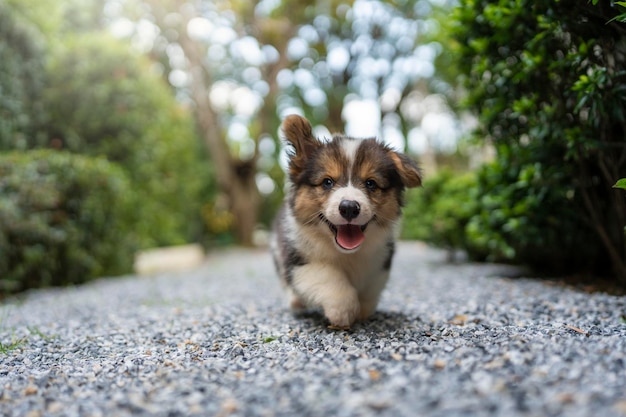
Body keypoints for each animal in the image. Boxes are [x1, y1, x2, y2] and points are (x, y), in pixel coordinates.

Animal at [268, 114, 420, 328]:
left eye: (371, 183)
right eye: (327, 182)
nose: (349, 207)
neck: (347, 254)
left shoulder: (380, 261)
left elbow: (371, 287)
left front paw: (363, 310)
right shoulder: (300, 261)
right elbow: (329, 277)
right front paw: (343, 312)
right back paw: (296, 301)